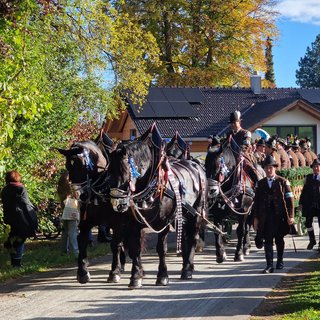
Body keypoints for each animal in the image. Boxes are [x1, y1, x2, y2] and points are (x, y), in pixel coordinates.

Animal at [106, 122, 209, 288]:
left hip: (196, 212)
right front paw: (135, 277)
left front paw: (162, 276)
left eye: (125, 172)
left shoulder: (163, 222)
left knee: (193, 237)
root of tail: (196, 165)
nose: (117, 204)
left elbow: (161, 248)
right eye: (109, 172)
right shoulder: (133, 224)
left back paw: (187, 269)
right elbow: (135, 249)